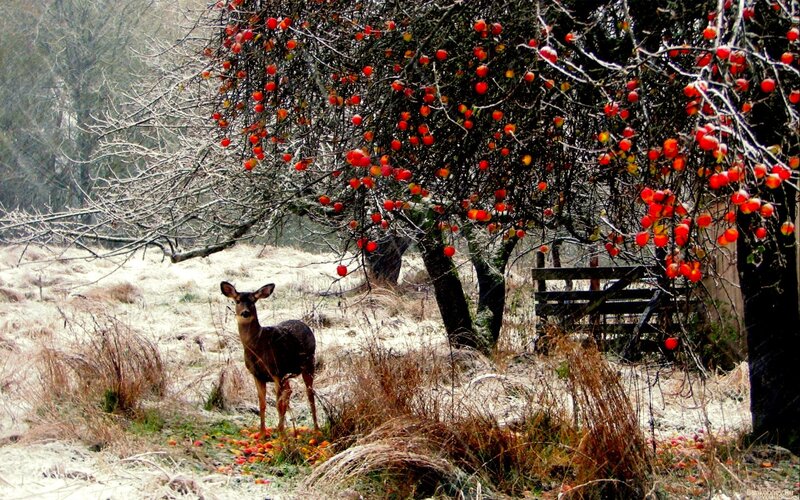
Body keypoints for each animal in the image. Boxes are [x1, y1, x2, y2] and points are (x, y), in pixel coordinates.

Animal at [220, 281, 319, 437]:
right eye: (237, 300)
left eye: (253, 301)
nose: (245, 313)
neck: (257, 346)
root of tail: (305, 325)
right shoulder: (257, 375)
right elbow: (262, 404)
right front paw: (262, 434)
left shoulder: (275, 370)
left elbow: (278, 404)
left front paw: (281, 435)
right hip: (287, 373)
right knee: (289, 391)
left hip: (309, 362)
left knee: (310, 394)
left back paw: (315, 429)